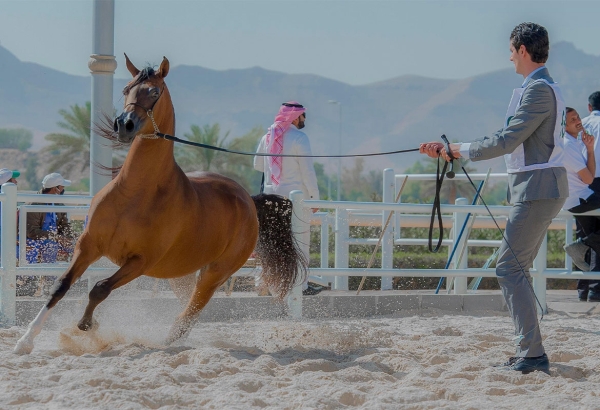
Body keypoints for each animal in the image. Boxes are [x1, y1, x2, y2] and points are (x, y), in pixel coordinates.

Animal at [16, 55, 308, 356]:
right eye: (126, 89)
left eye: (154, 92)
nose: (124, 125)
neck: (134, 195)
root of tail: (248, 201)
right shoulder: (88, 245)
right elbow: (60, 286)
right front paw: (25, 341)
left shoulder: (140, 262)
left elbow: (99, 288)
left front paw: (87, 325)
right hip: (180, 274)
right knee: (187, 307)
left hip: (216, 272)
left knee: (191, 312)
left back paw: (165, 341)